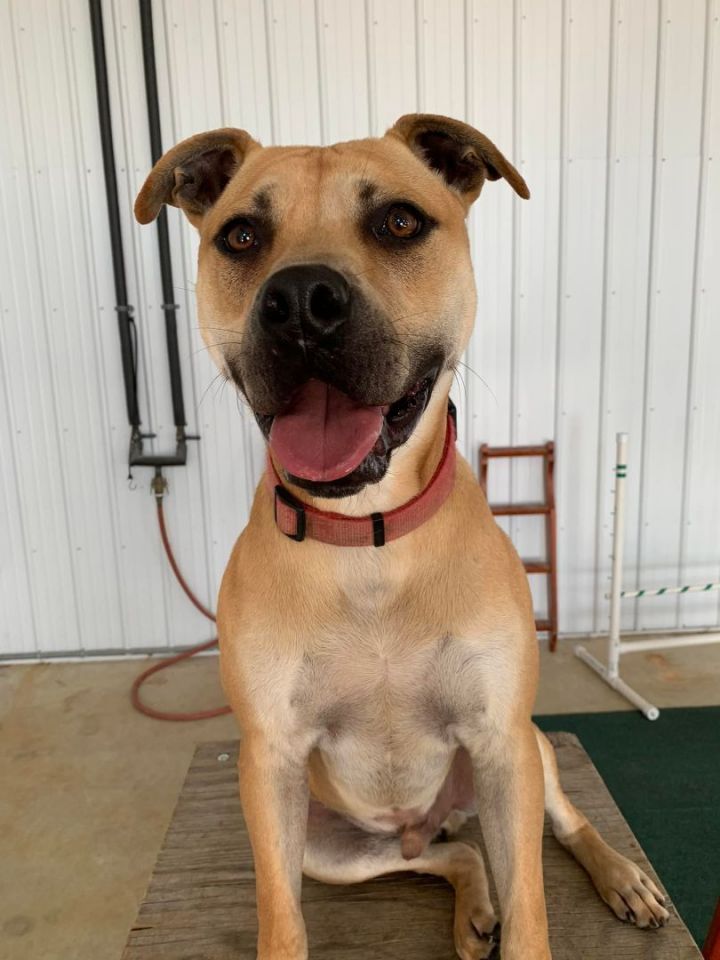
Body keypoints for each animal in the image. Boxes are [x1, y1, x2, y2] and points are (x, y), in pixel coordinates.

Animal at [136, 118, 668, 960]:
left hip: (529, 753)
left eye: (398, 222)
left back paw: (619, 876)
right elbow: (281, 919)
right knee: (449, 855)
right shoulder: (270, 764)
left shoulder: (500, 739)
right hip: (334, 847)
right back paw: (471, 907)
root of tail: (427, 819)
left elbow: (531, 909)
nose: (299, 302)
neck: (369, 541)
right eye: (241, 236)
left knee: (562, 820)